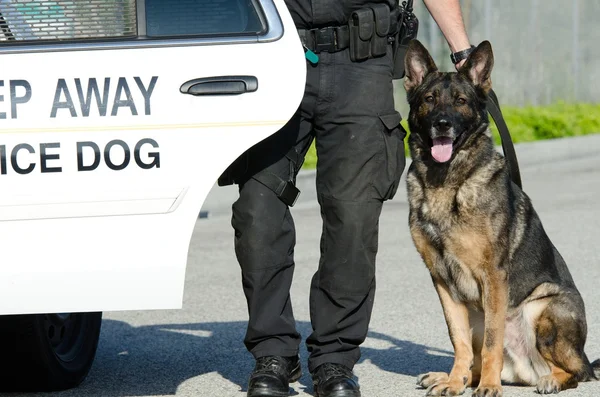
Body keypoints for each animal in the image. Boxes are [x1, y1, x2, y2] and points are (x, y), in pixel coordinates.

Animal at [404, 38, 600, 394]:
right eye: (429, 99)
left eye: (461, 101)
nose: (442, 124)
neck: (448, 182)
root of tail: (526, 371)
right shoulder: (442, 280)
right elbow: (458, 340)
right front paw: (454, 381)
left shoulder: (493, 277)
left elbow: (493, 342)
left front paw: (489, 387)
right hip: (477, 312)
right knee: (474, 358)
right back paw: (453, 376)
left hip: (542, 306)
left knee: (577, 371)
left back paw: (547, 379)